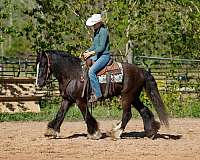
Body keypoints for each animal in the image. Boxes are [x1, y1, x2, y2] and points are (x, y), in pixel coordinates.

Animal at [36, 50, 169, 140]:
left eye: (42, 65)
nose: (38, 83)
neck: (73, 74)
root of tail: (141, 71)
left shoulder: (80, 100)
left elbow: (86, 116)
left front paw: (94, 133)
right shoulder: (67, 99)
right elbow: (60, 114)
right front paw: (51, 130)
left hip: (127, 96)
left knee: (127, 114)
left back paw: (116, 132)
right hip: (134, 97)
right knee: (144, 111)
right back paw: (151, 132)